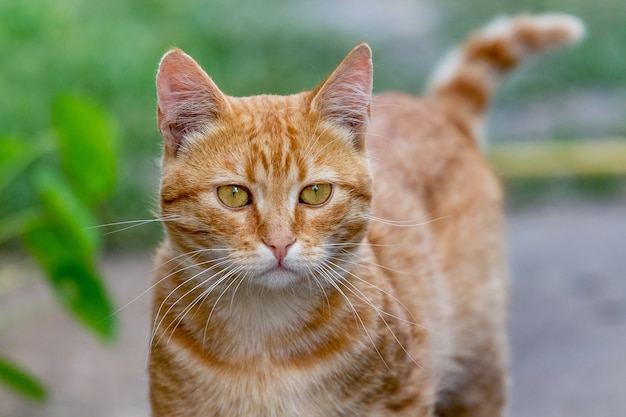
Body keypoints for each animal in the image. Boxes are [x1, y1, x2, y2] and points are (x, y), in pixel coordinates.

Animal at [150, 13, 580, 416]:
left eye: (316, 193)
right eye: (234, 195)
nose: (280, 243)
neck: (264, 340)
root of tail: (435, 111)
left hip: (478, 367)